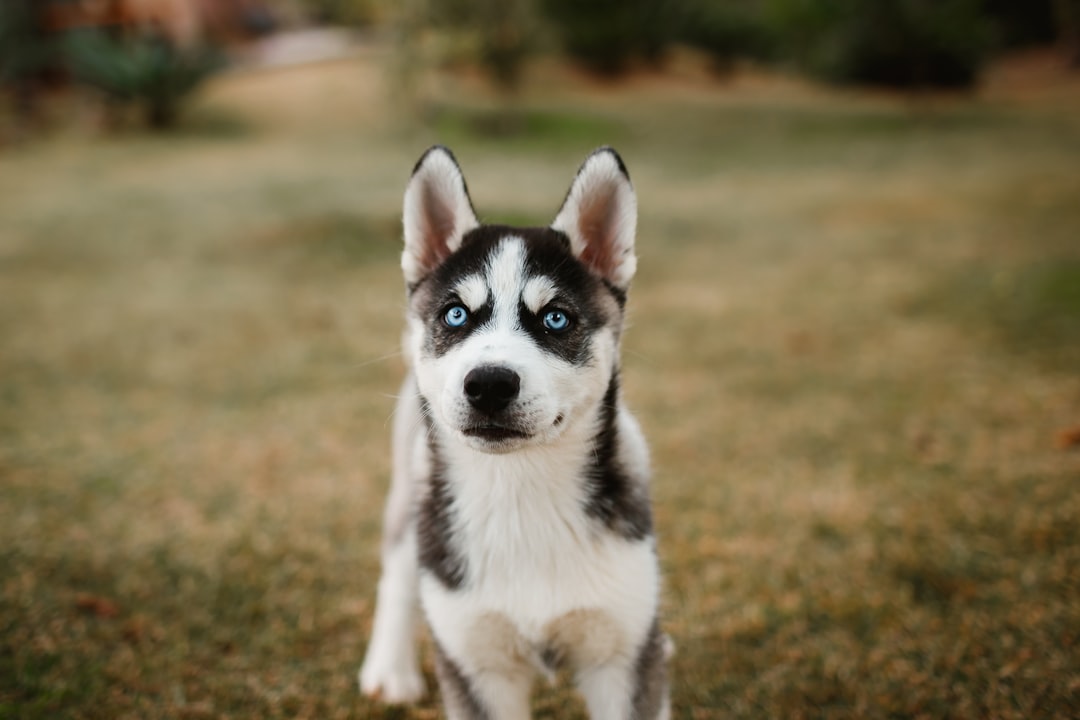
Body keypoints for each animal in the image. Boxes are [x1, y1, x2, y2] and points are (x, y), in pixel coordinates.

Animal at [362, 146, 665, 720]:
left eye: (556, 319)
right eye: (456, 314)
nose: (489, 384)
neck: (519, 492)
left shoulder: (625, 650)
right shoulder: (477, 664)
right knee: (398, 570)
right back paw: (389, 670)